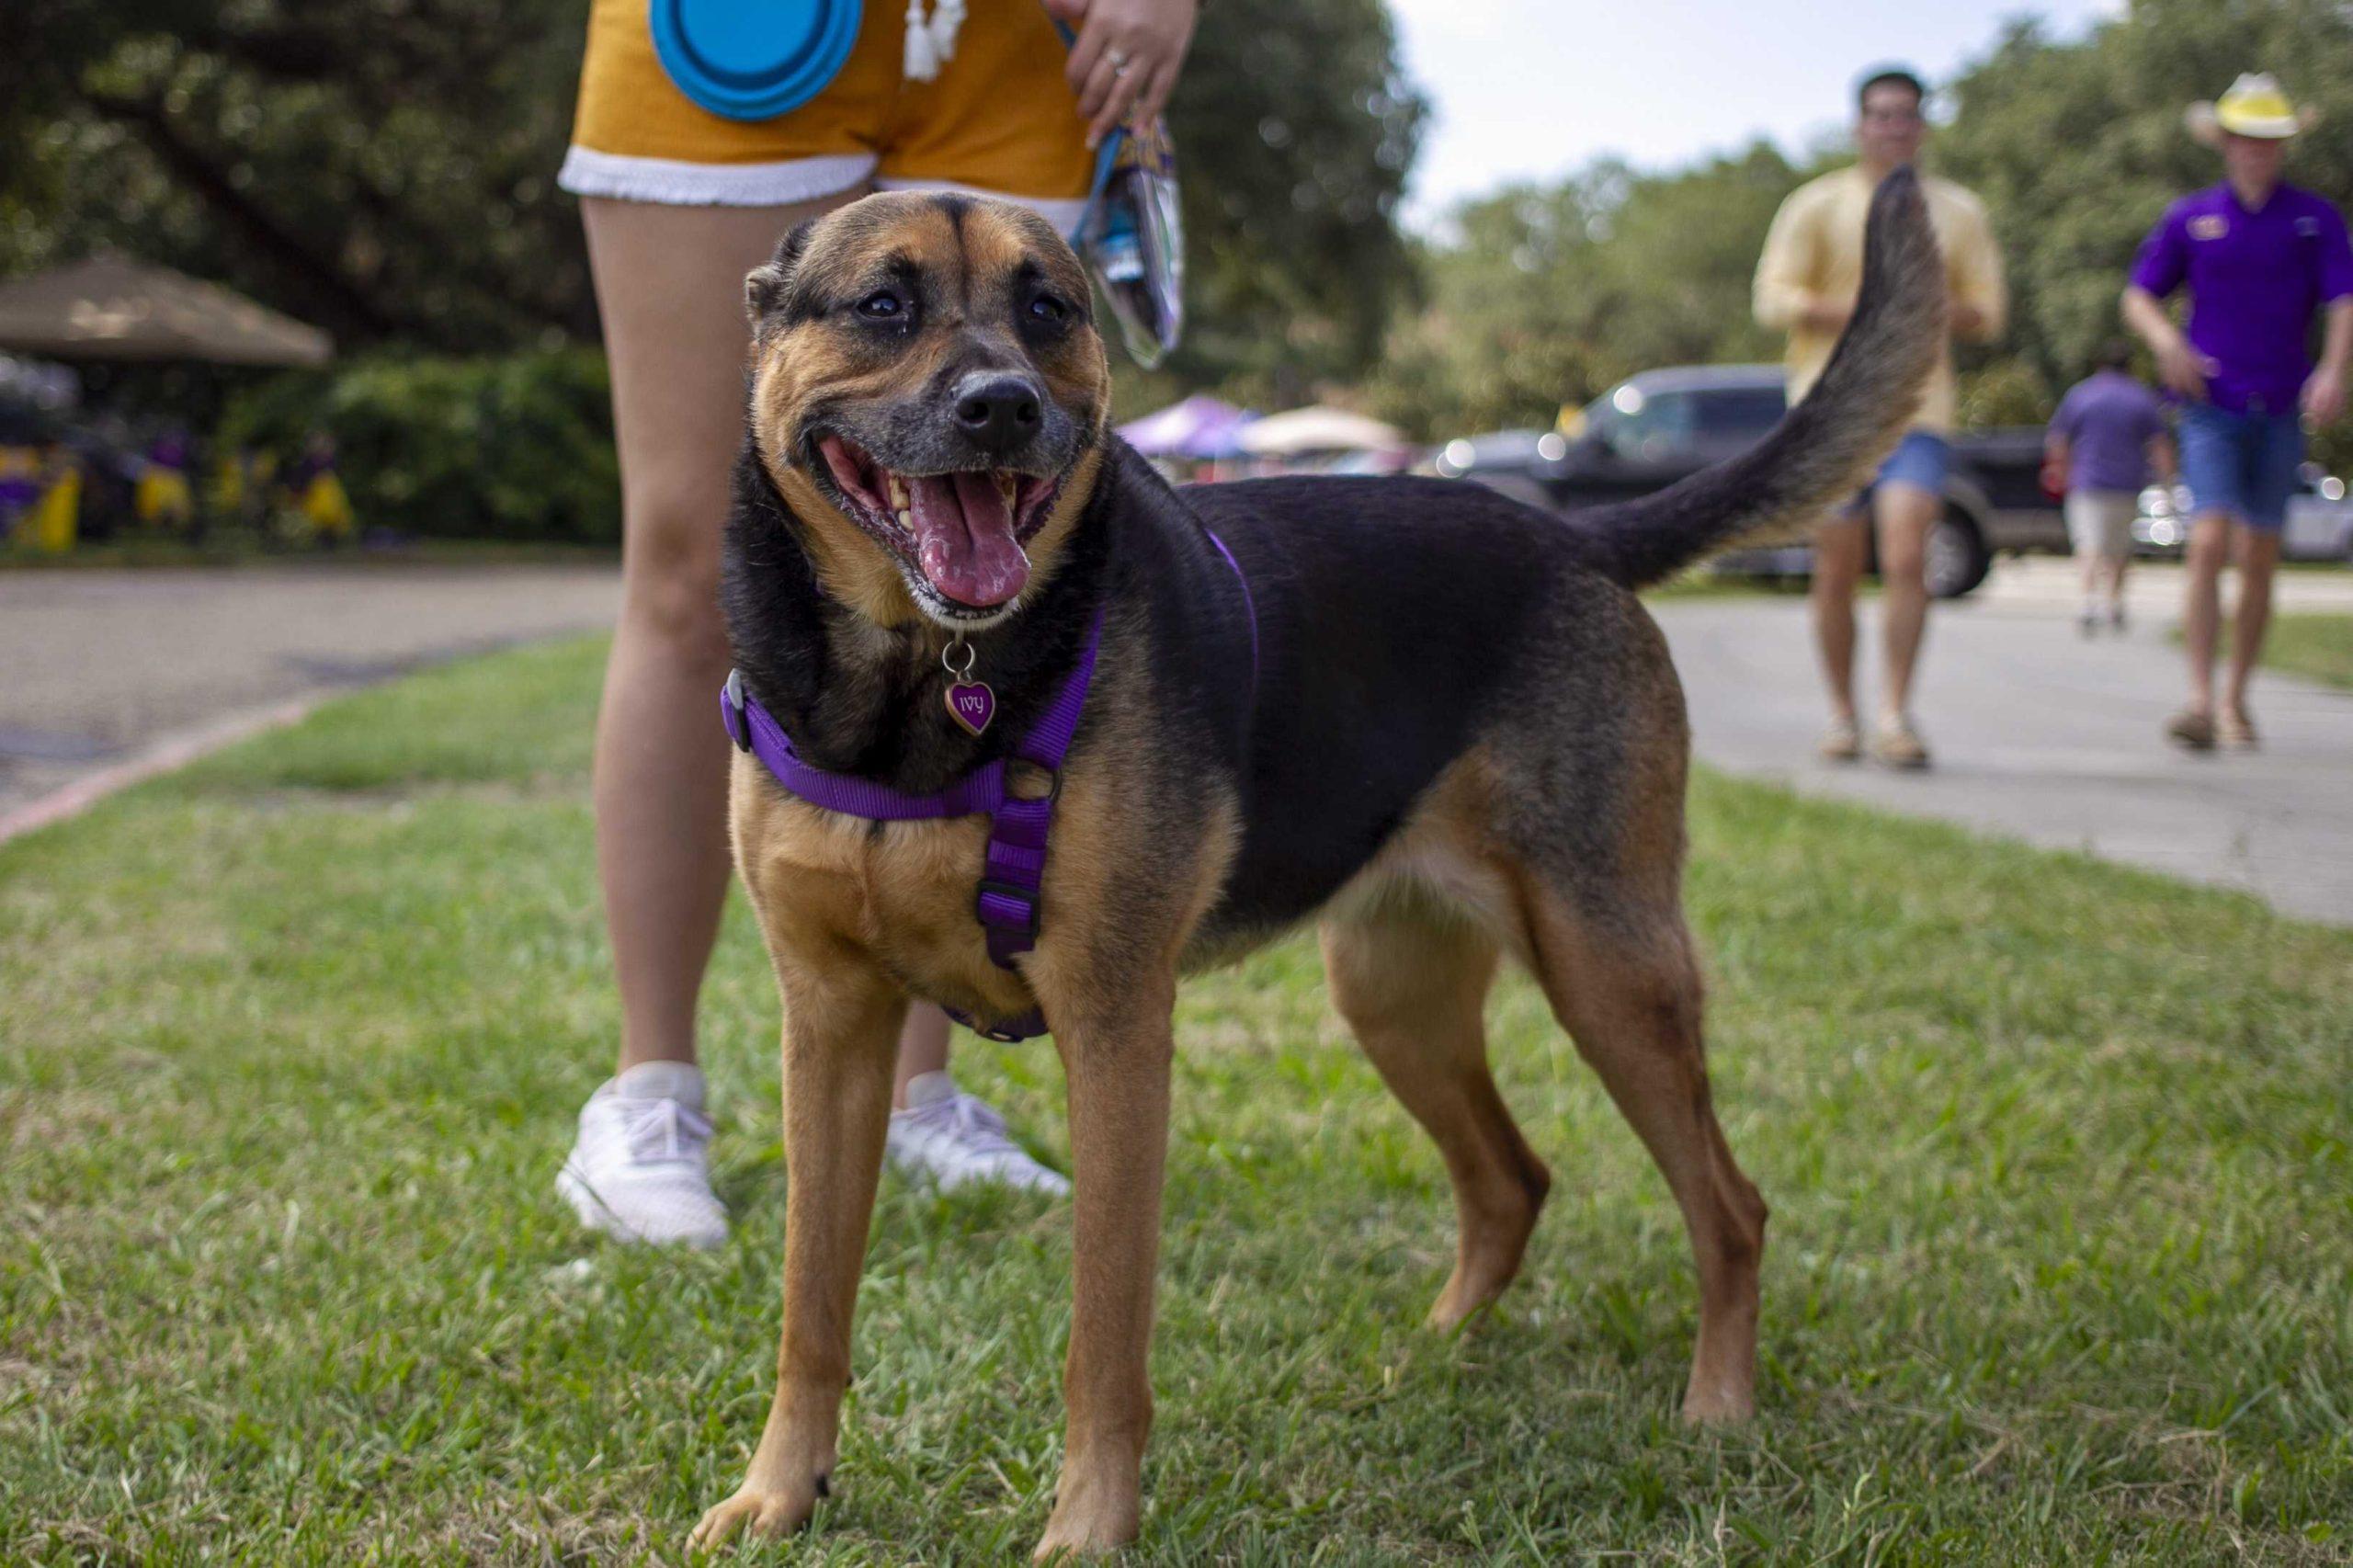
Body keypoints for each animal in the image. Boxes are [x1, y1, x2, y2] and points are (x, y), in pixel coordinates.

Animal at [696, 165, 1948, 1544]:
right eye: (883, 304)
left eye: (1047, 310)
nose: (1003, 406)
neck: (922, 686)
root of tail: (1573, 538)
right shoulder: (829, 1023)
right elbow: (811, 1303)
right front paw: (777, 1492)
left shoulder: (1115, 1028)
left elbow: (1103, 1332)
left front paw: (1090, 1527)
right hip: (1395, 995)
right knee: (1512, 1179)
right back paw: (1431, 1354)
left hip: (1610, 968)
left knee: (1730, 1207)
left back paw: (1717, 1406)